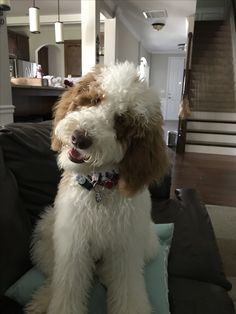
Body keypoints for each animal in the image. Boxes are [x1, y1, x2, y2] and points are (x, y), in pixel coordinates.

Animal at [25, 62, 169, 314]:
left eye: (121, 120)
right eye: (93, 100)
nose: (79, 138)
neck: (99, 186)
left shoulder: (126, 248)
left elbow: (127, 289)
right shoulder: (73, 243)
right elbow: (67, 285)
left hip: (148, 244)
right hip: (45, 233)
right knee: (54, 277)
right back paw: (43, 299)